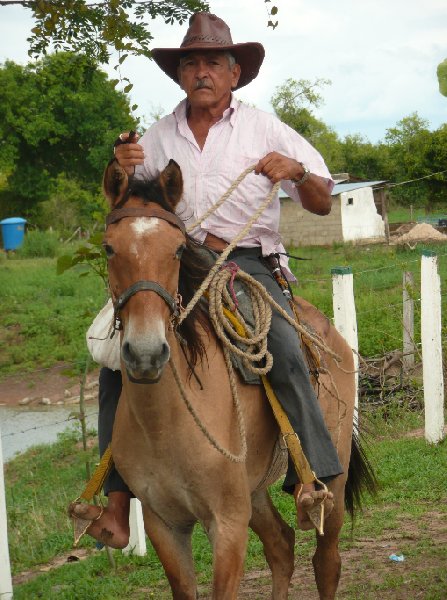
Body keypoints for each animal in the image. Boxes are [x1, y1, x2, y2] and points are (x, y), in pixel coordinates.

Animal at [101, 157, 374, 596]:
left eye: (178, 249)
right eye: (109, 248)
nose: (146, 353)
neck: (167, 422)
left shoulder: (227, 525)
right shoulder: (165, 524)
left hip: (330, 479)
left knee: (326, 561)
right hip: (254, 492)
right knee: (281, 545)